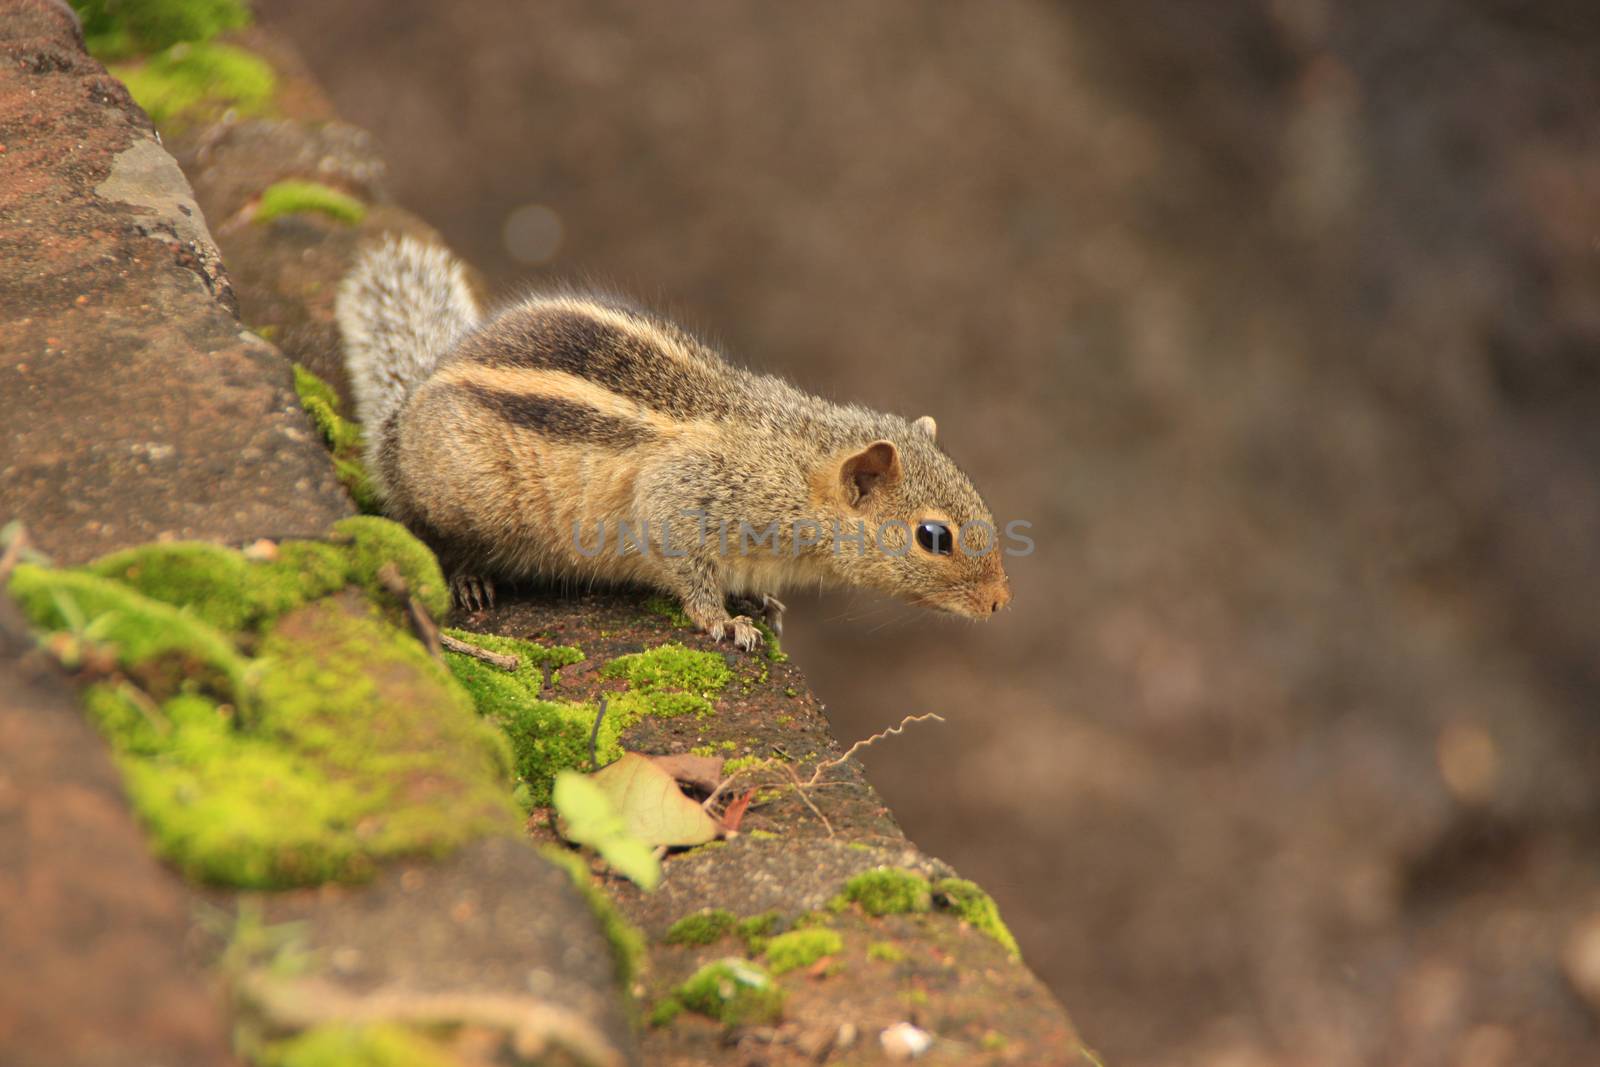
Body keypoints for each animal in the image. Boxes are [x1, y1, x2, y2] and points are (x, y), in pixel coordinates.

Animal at [334, 235, 1011, 652]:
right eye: (934, 537)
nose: (1001, 603)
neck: (791, 464)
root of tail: (399, 419)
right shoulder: (683, 499)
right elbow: (687, 569)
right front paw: (726, 622)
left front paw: (762, 601)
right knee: (423, 526)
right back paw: (469, 577)